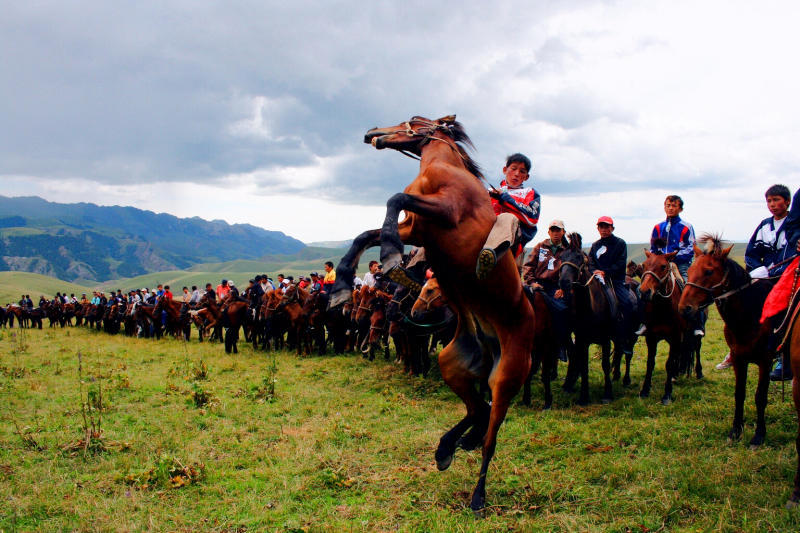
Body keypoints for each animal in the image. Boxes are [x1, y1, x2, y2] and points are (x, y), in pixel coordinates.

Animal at [328, 114, 536, 512]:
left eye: (411, 120)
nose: (370, 134)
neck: (443, 169)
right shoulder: (416, 226)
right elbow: (367, 233)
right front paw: (342, 285)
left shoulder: (443, 212)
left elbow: (394, 199)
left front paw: (391, 256)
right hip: (450, 363)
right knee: (477, 410)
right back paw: (447, 448)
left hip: (506, 380)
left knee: (490, 438)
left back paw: (477, 497)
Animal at [676, 235, 776, 446]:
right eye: (690, 270)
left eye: (708, 271)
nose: (684, 308)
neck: (750, 315)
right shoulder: (739, 359)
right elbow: (739, 394)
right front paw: (735, 431)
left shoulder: (766, 360)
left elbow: (760, 397)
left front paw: (759, 435)